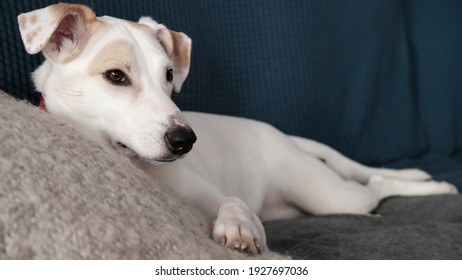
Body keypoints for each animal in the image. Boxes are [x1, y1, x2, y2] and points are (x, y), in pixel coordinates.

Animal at [18, 3, 458, 254]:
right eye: (115, 76)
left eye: (169, 75)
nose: (186, 141)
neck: (142, 168)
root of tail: (277, 133)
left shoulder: (210, 192)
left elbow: (233, 201)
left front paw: (239, 225)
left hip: (332, 198)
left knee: (377, 186)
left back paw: (434, 185)